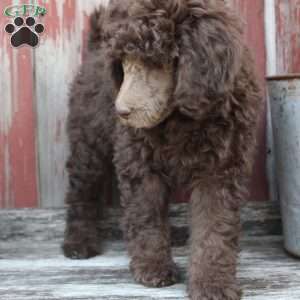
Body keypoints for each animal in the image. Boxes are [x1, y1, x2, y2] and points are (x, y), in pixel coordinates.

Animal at [62, 1, 262, 298]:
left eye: (155, 62)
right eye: (124, 65)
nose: (120, 112)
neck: (181, 118)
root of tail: (95, 45)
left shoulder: (221, 169)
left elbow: (214, 226)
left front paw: (212, 282)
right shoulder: (139, 164)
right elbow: (146, 216)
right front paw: (153, 268)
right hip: (88, 142)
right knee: (81, 194)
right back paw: (78, 242)